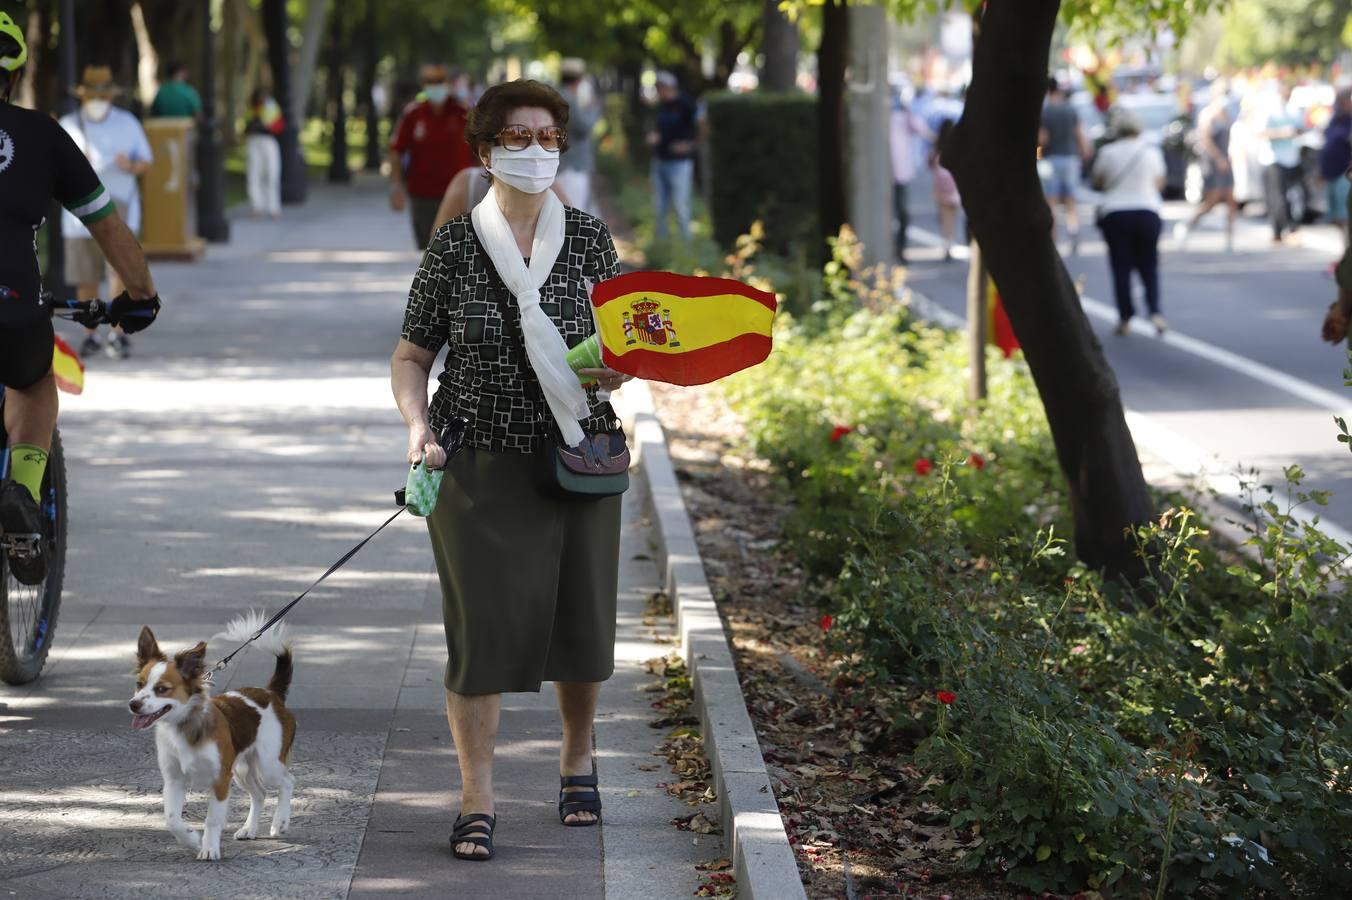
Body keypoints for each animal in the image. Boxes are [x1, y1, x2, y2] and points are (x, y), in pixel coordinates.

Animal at [128, 613, 296, 859]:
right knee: (259, 793)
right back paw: (249, 829)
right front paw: (191, 840)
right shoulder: (174, 780)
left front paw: (209, 848)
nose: (133, 704)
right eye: (139, 684)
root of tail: (271, 693)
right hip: (242, 769)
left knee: (287, 782)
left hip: (268, 765)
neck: (184, 727)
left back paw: (280, 823)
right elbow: (172, 819)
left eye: (161, 689)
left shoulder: (220, 780)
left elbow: (212, 820)